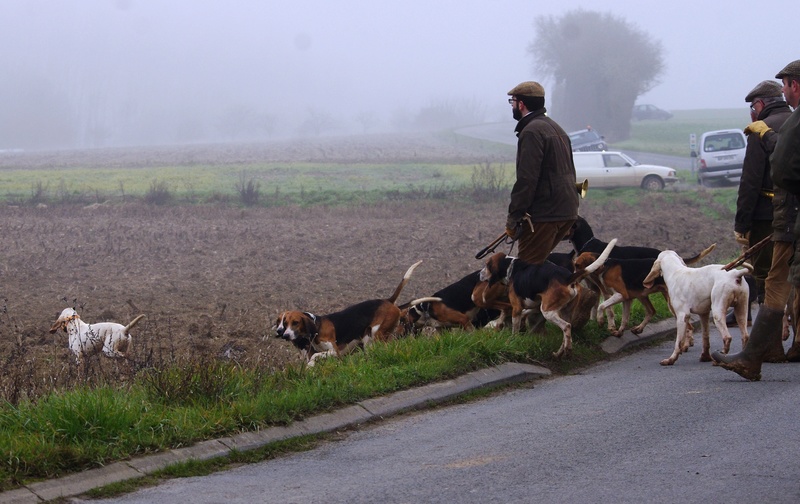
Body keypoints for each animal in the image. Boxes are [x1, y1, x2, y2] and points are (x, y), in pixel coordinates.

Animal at [274, 260, 438, 366]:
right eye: (284, 323)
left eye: (295, 323)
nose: (284, 335)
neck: (316, 326)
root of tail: (388, 301)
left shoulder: (335, 352)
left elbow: (315, 356)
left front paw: (311, 365)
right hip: (368, 339)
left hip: (377, 335)